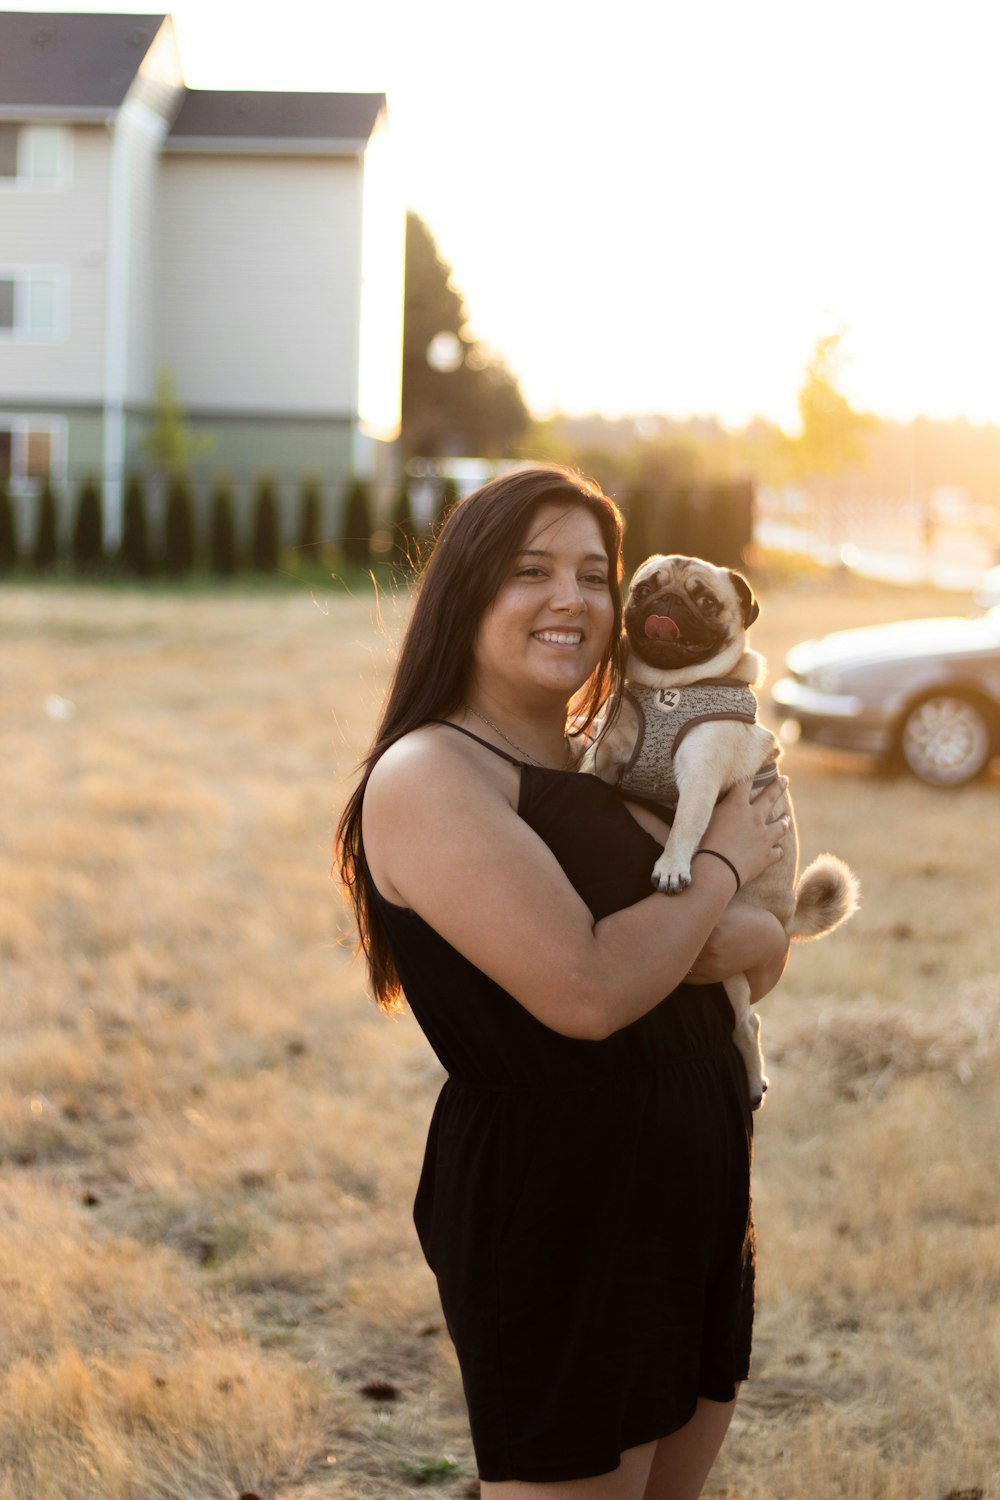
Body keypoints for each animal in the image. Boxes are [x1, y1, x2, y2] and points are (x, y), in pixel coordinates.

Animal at [581, 558, 857, 1110]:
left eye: (705, 602)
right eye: (644, 588)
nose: (665, 602)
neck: (669, 689)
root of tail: (787, 914)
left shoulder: (701, 775)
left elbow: (686, 824)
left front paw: (672, 867)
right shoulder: (606, 754)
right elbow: (586, 767)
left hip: (729, 961)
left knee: (747, 1023)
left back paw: (752, 1083)